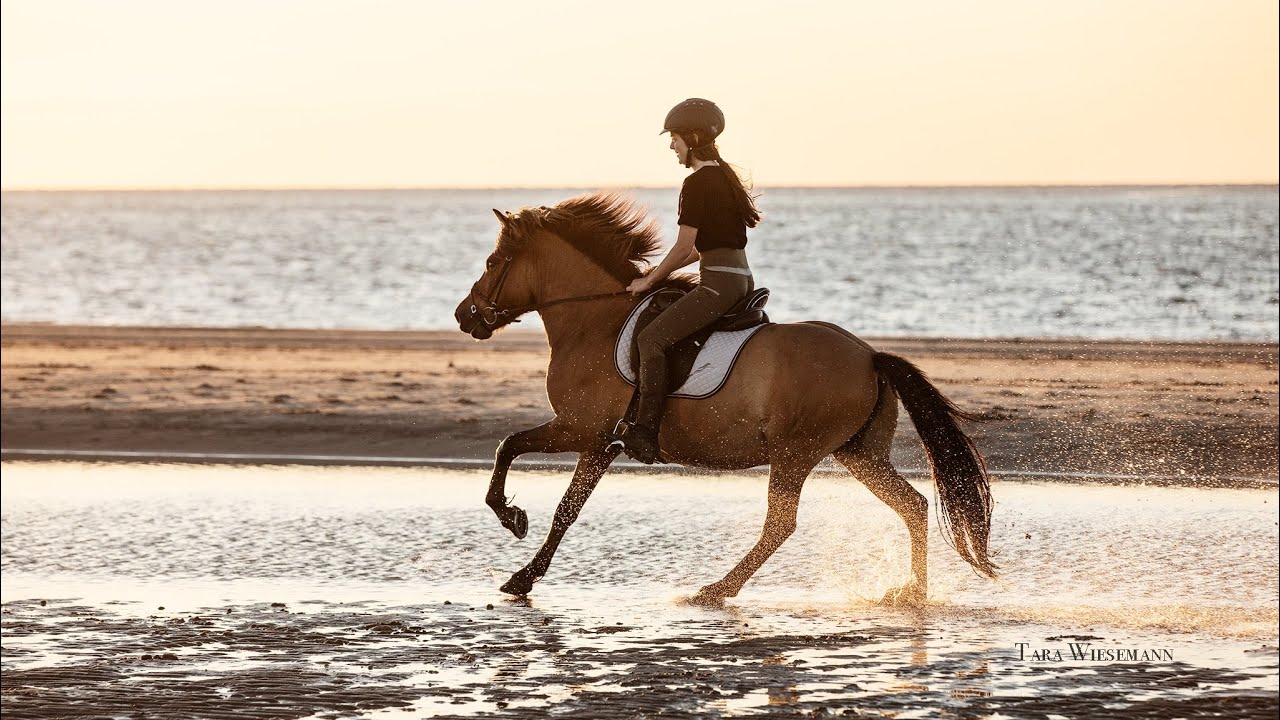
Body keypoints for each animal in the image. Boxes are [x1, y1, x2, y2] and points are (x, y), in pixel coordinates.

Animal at [454, 192, 996, 605]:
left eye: (493, 262)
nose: (464, 316)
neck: (594, 322)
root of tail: (869, 355)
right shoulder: (594, 440)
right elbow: (555, 495)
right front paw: (522, 560)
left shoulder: (583, 430)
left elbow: (518, 458)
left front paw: (514, 536)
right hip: (859, 452)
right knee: (914, 506)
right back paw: (912, 593)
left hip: (796, 452)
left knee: (781, 524)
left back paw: (716, 589)